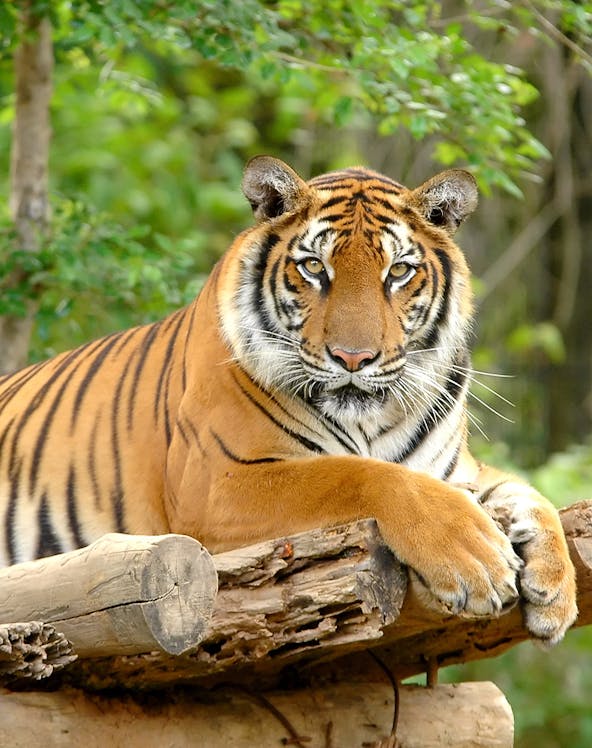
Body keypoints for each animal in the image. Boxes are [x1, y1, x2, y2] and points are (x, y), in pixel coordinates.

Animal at [0, 156, 577, 644]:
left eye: (398, 272)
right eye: (315, 268)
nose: (352, 358)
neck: (370, 422)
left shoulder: (456, 470)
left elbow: (527, 493)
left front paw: (556, 587)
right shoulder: (218, 485)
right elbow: (357, 475)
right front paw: (474, 560)